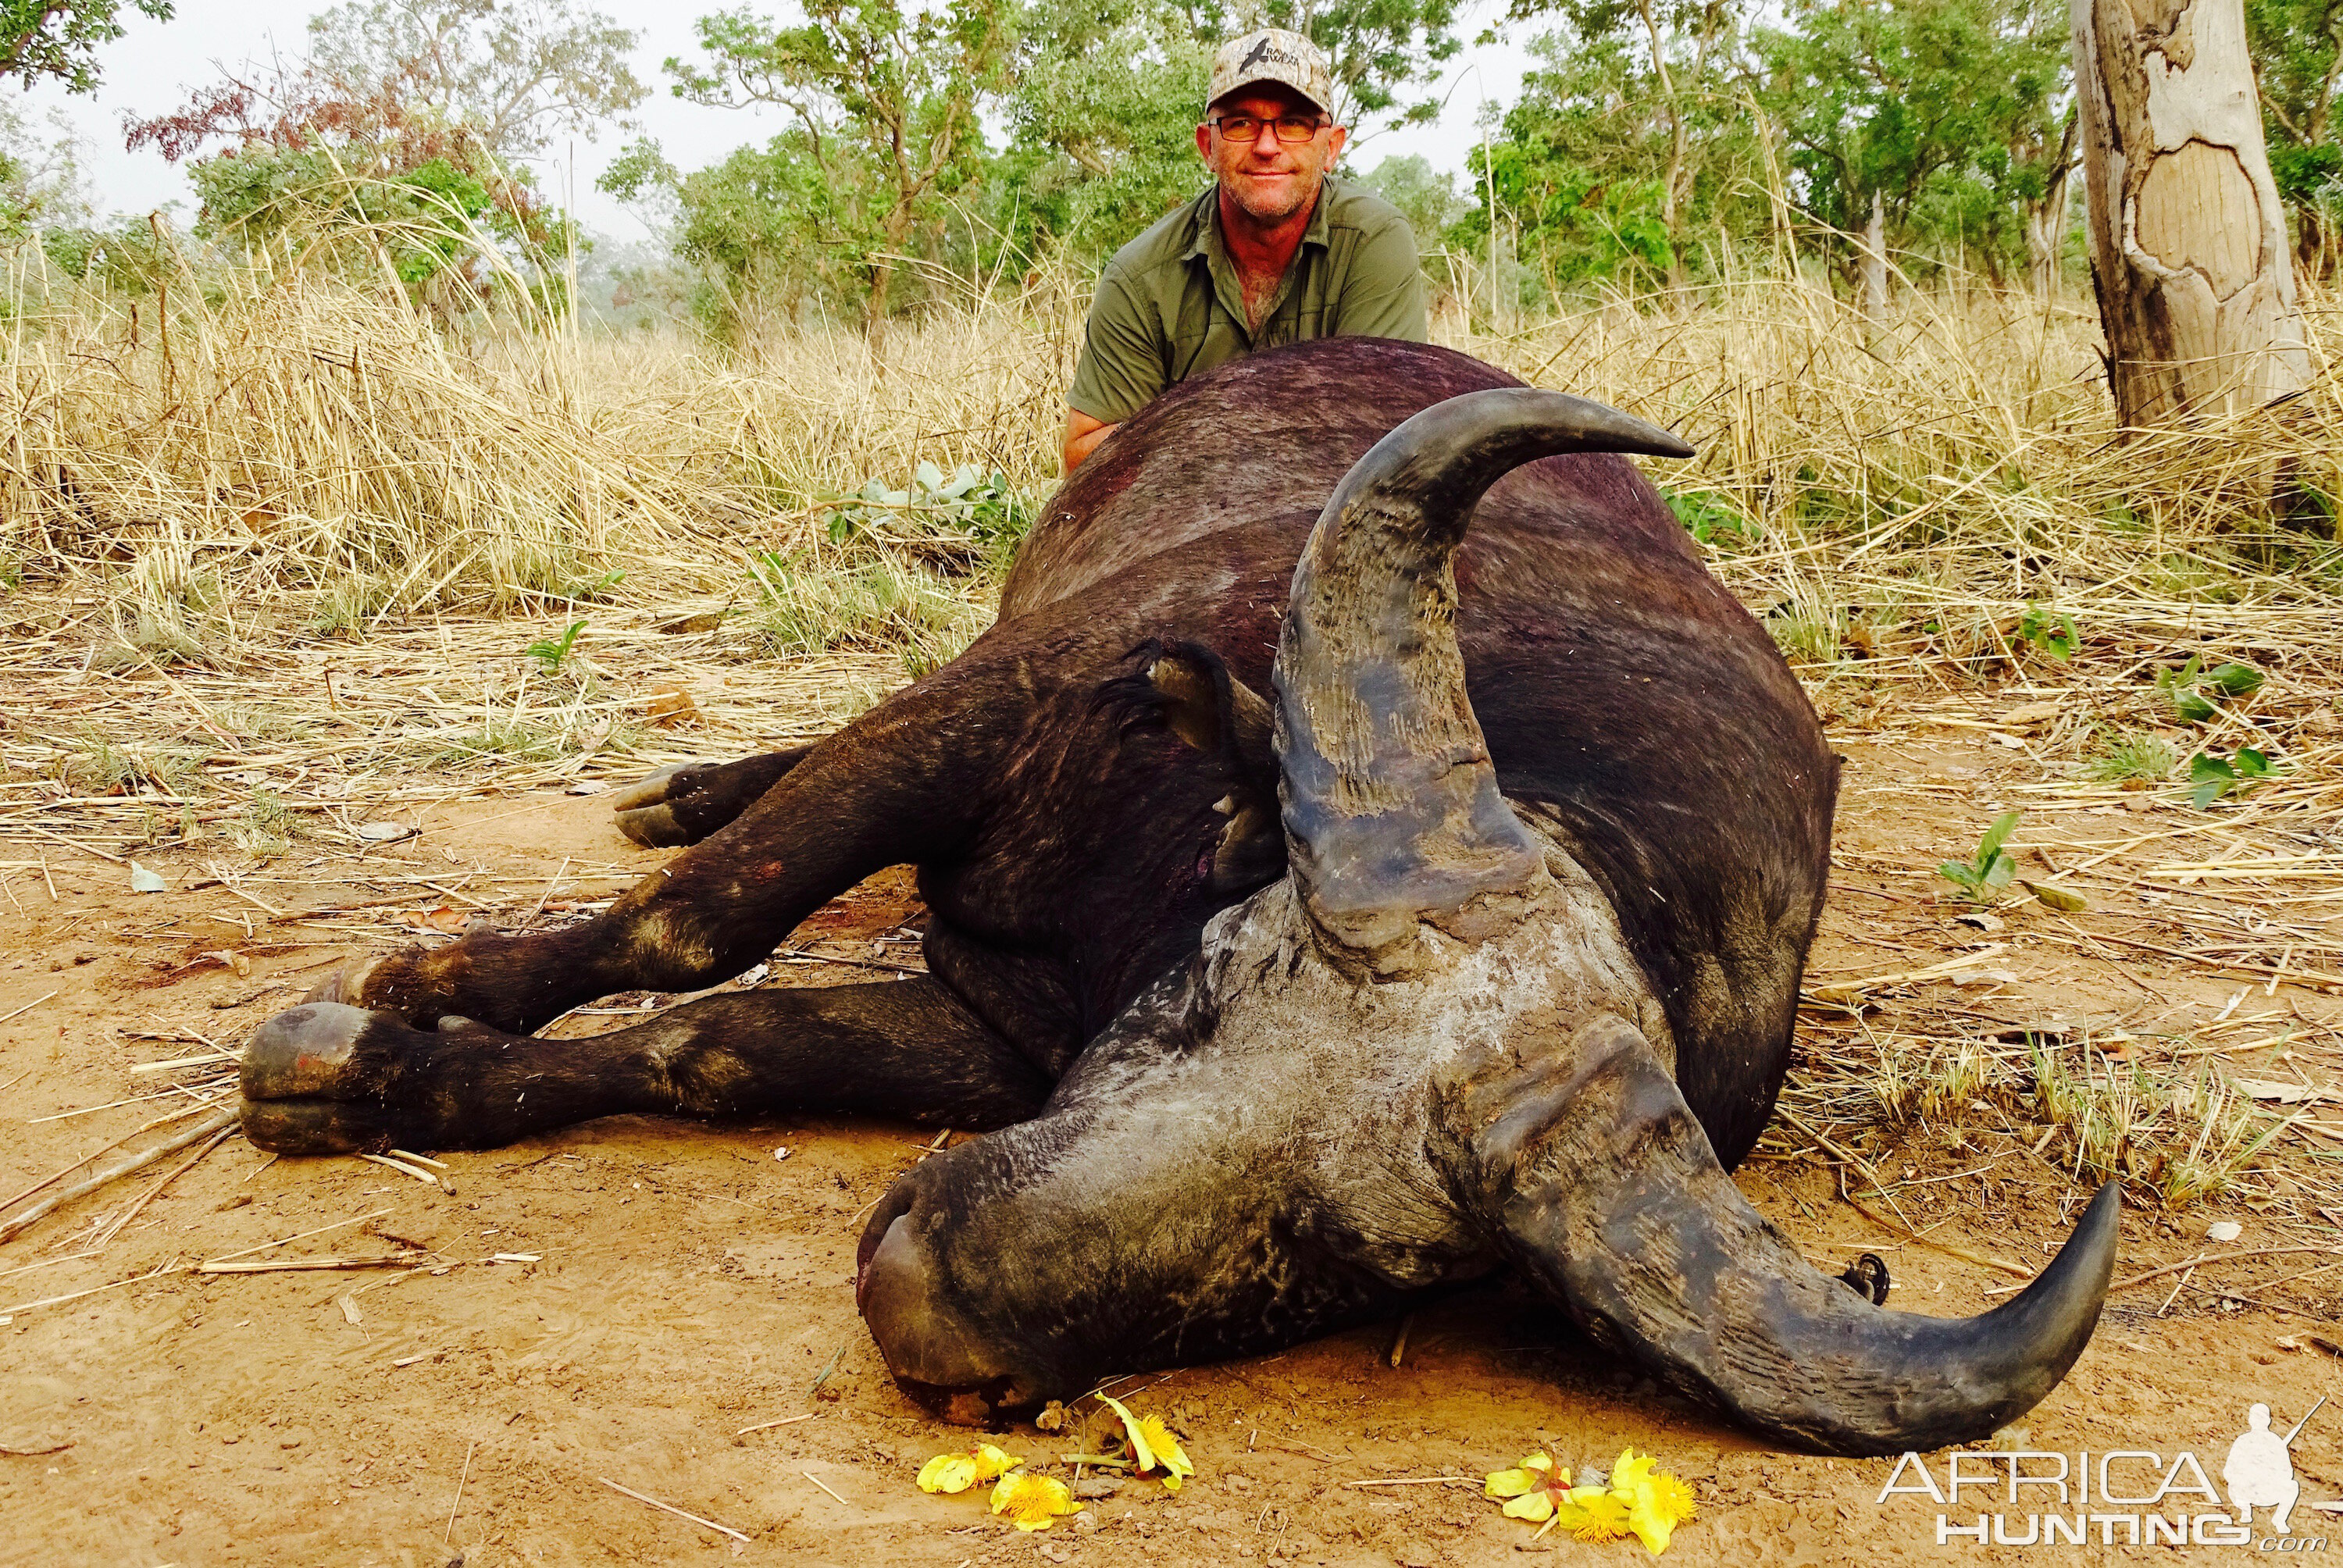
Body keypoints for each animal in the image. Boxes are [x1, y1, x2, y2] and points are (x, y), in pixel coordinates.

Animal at [242, 337, 2127, 1452]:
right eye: (1216, 981)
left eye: (1348, 1254)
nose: (923, 1287)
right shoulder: (979, 714)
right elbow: (699, 921)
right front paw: (412, 1001)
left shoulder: (986, 1036)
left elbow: (713, 1048)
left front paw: (383, 1078)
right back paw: (682, 786)